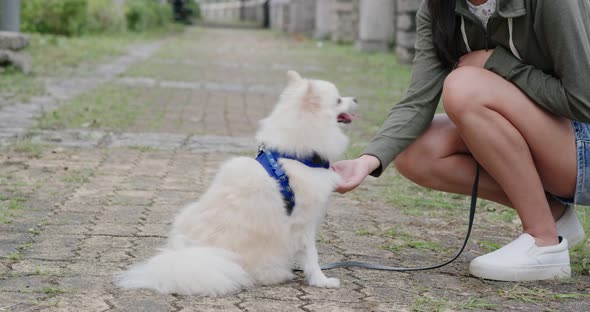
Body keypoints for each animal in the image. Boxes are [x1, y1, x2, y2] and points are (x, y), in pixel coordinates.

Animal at [115, 71, 356, 298]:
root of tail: (190, 257)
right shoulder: (304, 221)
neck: (293, 156)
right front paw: (322, 280)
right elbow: (312, 256)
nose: (356, 98)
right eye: (338, 100)